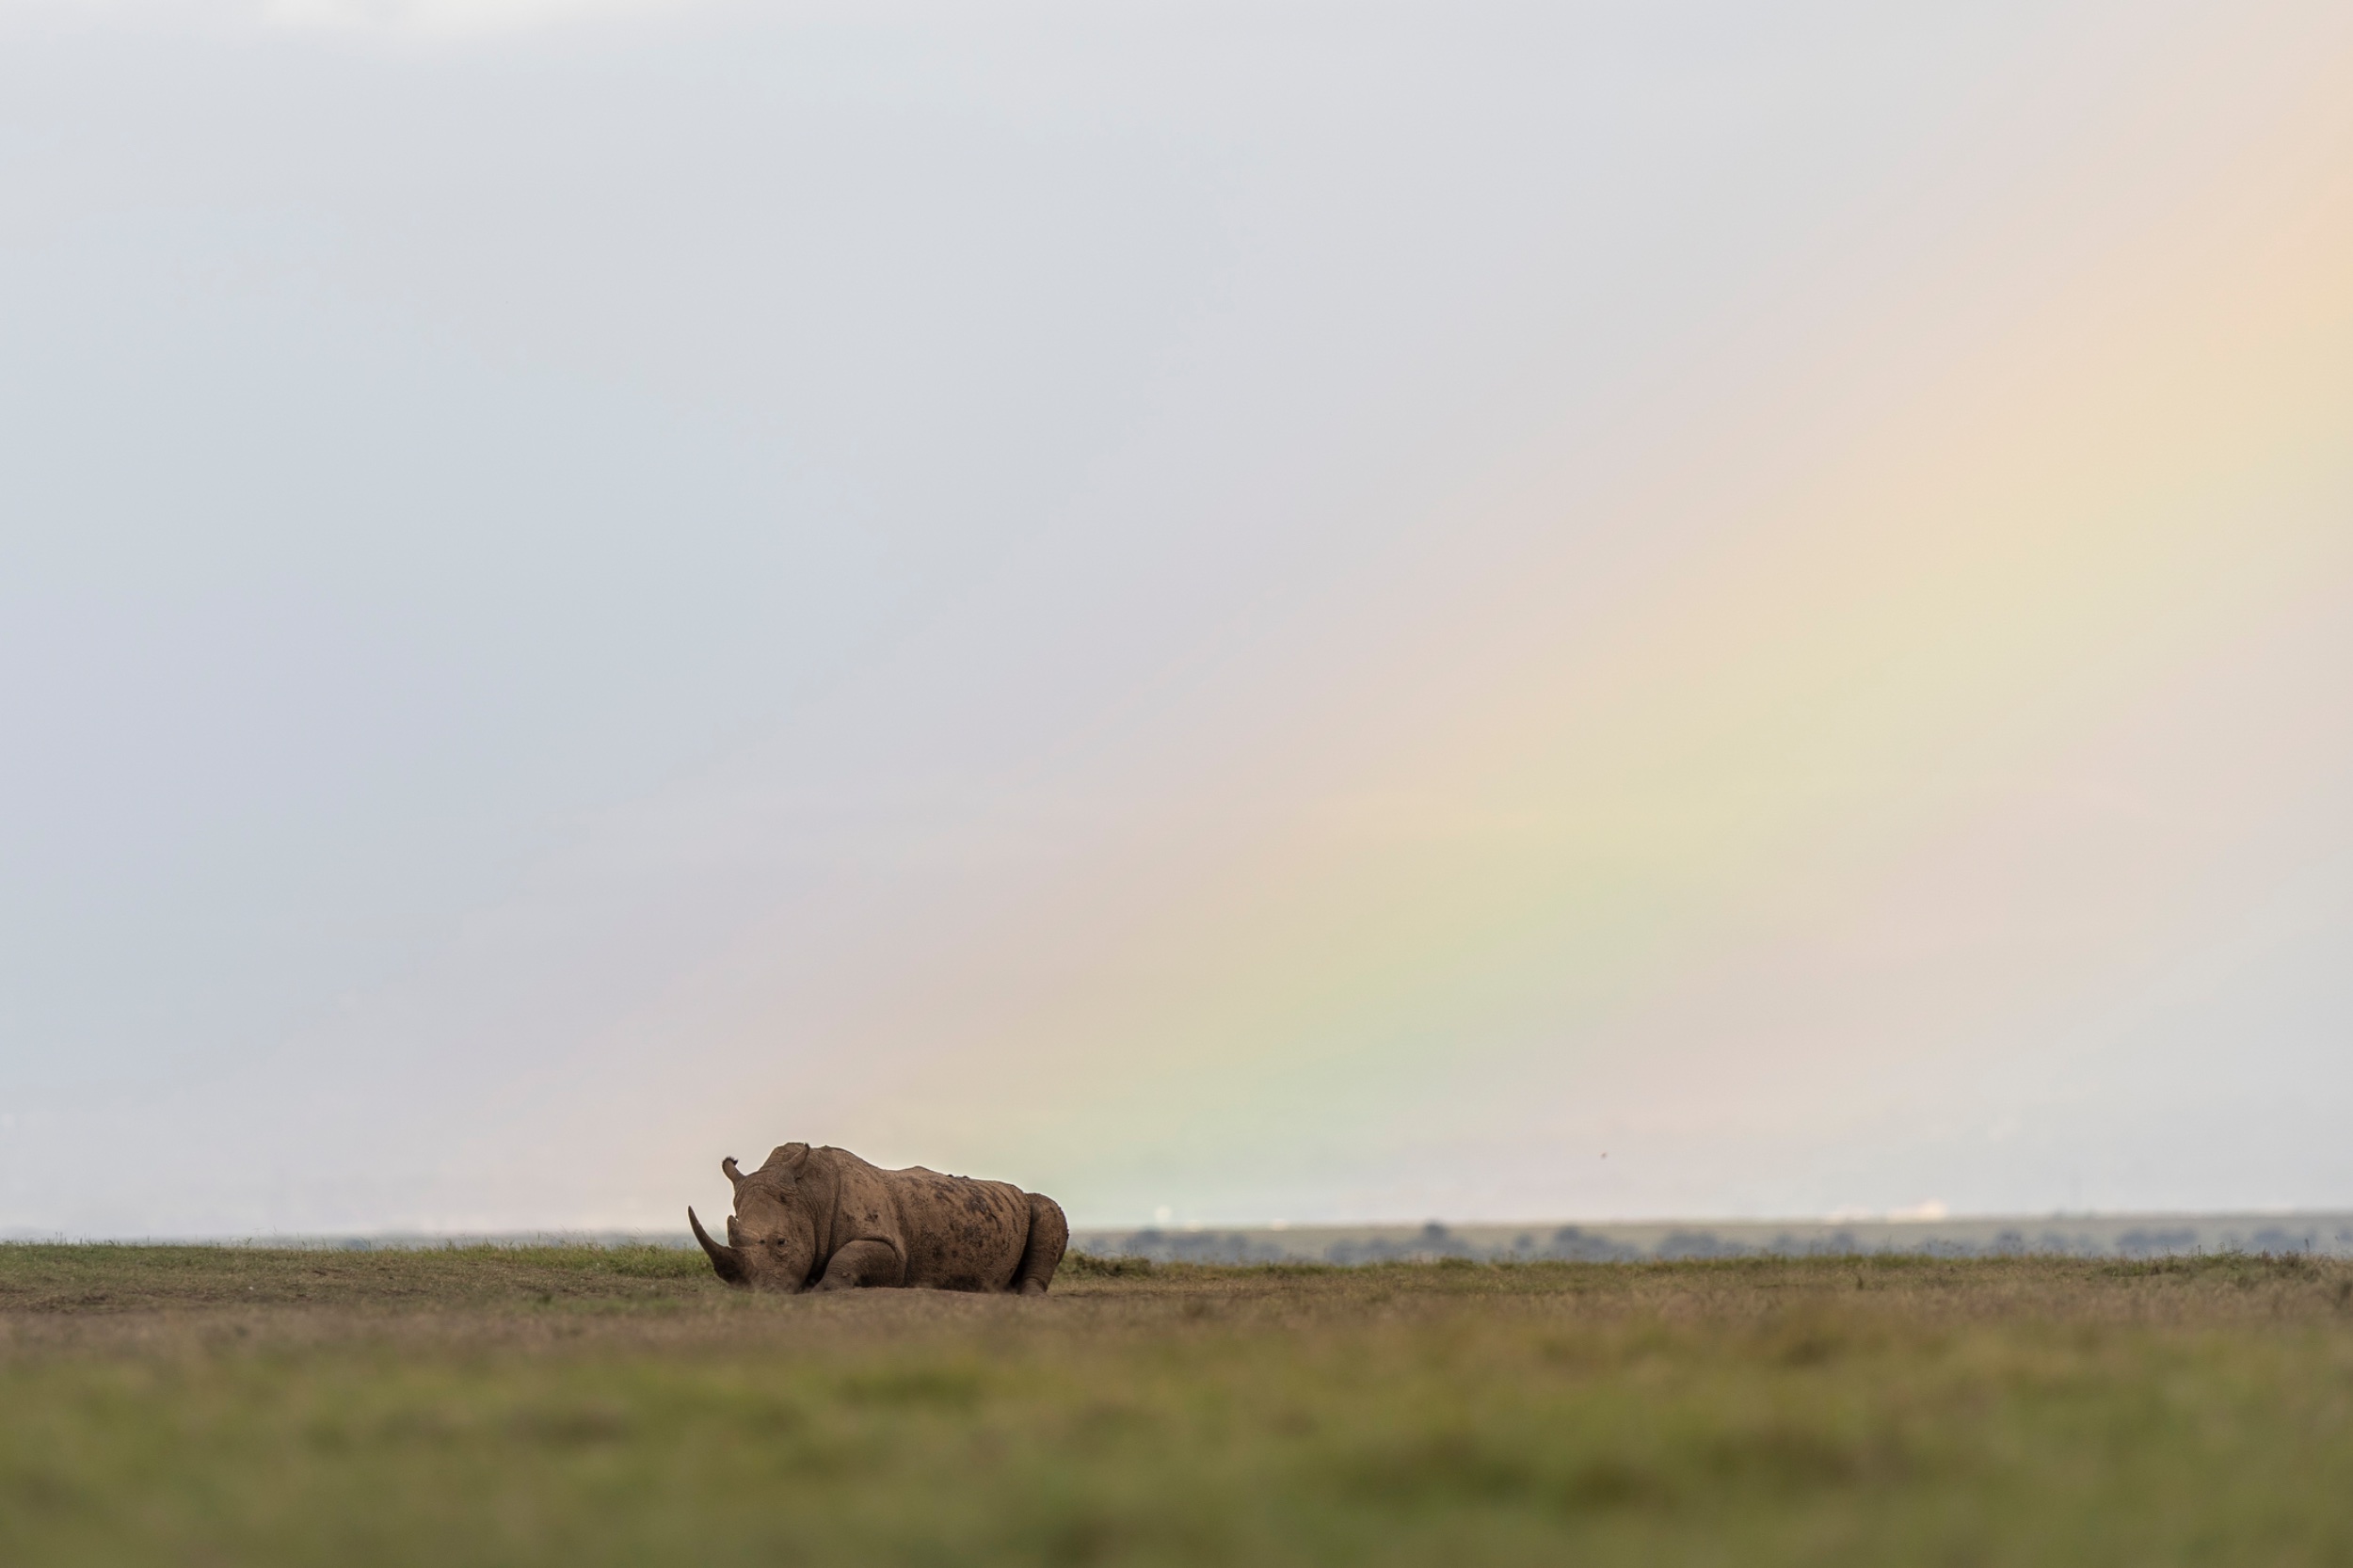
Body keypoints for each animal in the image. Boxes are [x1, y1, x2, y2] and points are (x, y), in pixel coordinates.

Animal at [687, 1142, 1069, 1294]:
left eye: (782, 1243)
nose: (755, 1294)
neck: (811, 1196)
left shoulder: (894, 1251)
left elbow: (852, 1255)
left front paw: (822, 1288)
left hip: (1033, 1203)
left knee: (1047, 1208)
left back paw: (1023, 1295)